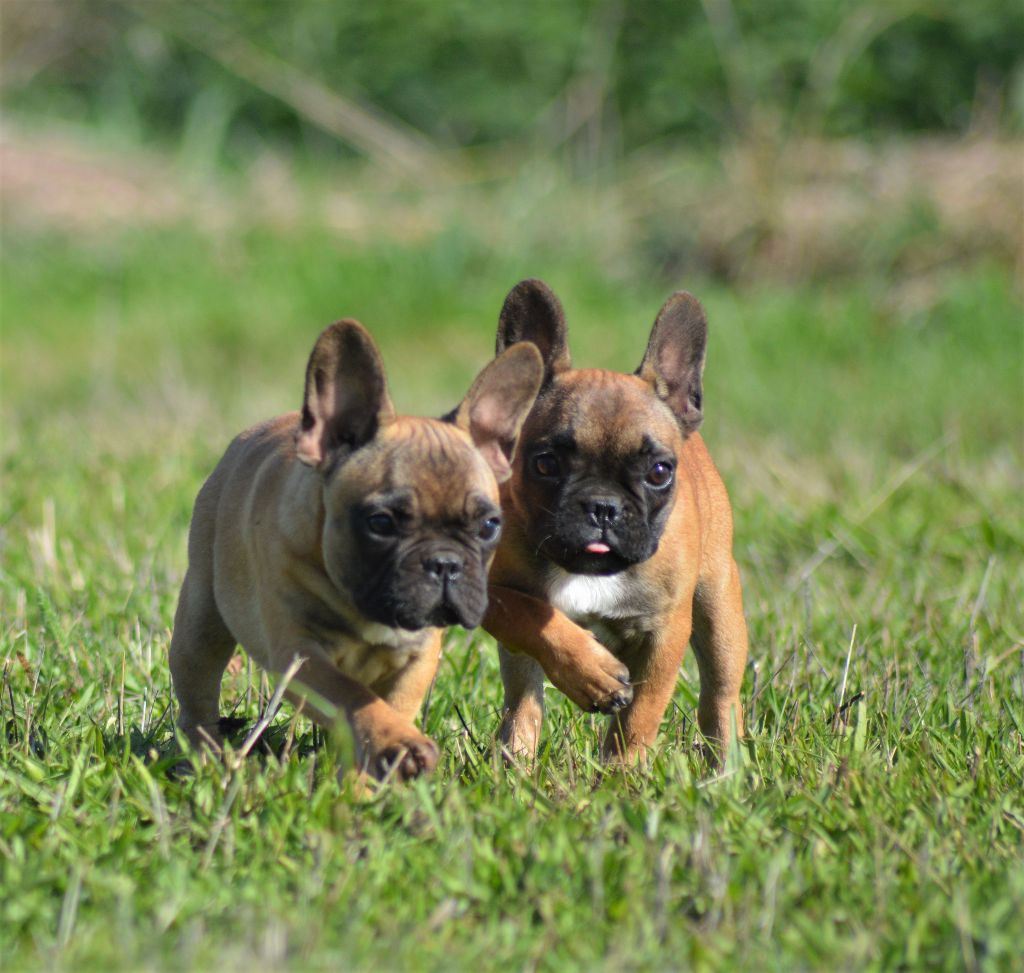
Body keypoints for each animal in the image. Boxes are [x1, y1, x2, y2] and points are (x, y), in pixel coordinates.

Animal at [169, 319, 544, 786]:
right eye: (380, 523)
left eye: (490, 525)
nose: (445, 564)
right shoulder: (302, 656)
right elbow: (350, 697)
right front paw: (398, 746)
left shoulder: (418, 658)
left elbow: (389, 705)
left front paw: (375, 770)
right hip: (201, 619)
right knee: (197, 690)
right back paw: (200, 757)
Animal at [483, 278, 749, 766]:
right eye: (545, 464)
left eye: (659, 472)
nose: (602, 506)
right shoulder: (484, 589)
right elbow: (527, 612)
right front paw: (591, 675)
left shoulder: (664, 632)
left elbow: (639, 714)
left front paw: (620, 772)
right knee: (523, 700)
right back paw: (514, 759)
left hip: (719, 607)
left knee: (720, 697)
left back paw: (726, 767)